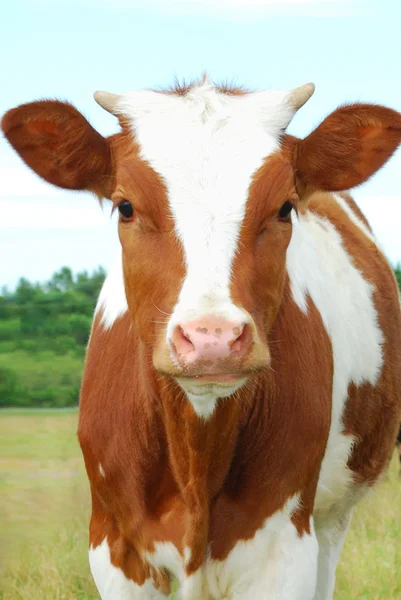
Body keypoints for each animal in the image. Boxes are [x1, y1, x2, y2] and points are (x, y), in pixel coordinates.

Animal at [3, 76, 400, 600]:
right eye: (125, 206)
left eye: (285, 208)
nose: (212, 339)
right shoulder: (115, 548)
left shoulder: (282, 547)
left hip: (333, 518)